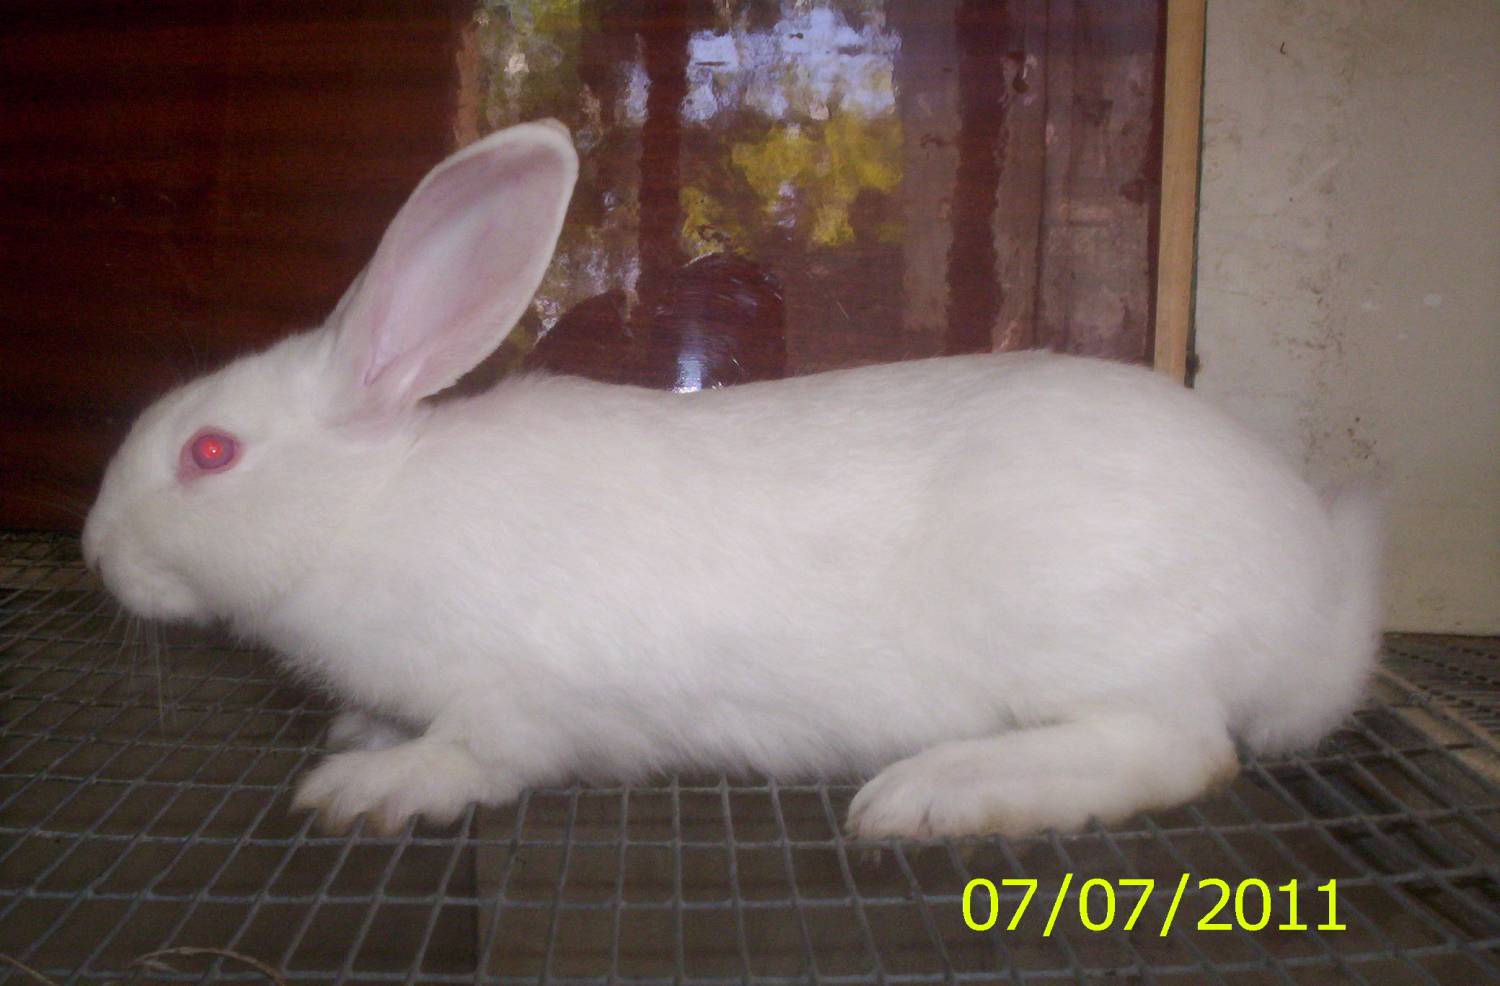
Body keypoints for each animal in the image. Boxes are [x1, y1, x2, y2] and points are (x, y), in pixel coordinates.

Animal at [82, 120, 1385, 839]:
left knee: (1178, 748)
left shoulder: (518, 700)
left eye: (209, 453)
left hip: (1084, 630)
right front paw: (360, 736)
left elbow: (477, 755)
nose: (96, 550)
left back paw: (937, 794)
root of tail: (1323, 597)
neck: (363, 510)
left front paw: (368, 783)